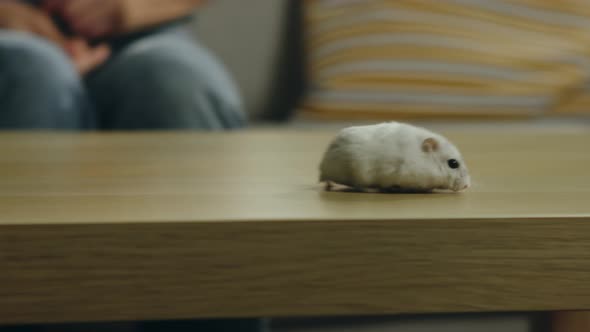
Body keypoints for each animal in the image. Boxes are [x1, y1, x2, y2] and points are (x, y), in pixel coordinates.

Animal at [320, 122, 472, 192]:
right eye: (453, 163)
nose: (466, 186)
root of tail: (323, 169)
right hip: (359, 173)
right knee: (360, 186)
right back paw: (375, 190)